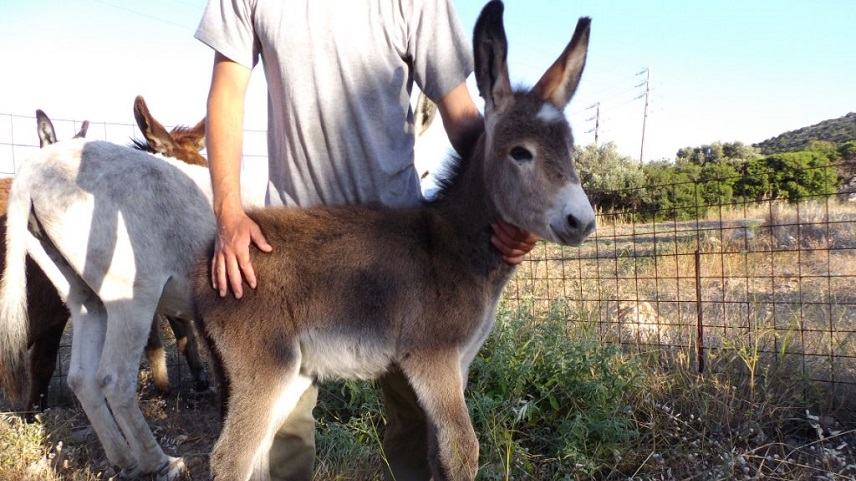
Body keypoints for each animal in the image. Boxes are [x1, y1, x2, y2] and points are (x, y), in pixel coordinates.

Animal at [195, 1, 596, 478]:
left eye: (570, 148)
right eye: (521, 152)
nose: (582, 221)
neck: (457, 244)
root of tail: (208, 260)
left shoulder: (457, 364)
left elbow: (438, 450)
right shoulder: (432, 358)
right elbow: (463, 448)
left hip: (291, 373)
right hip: (262, 364)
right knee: (230, 458)